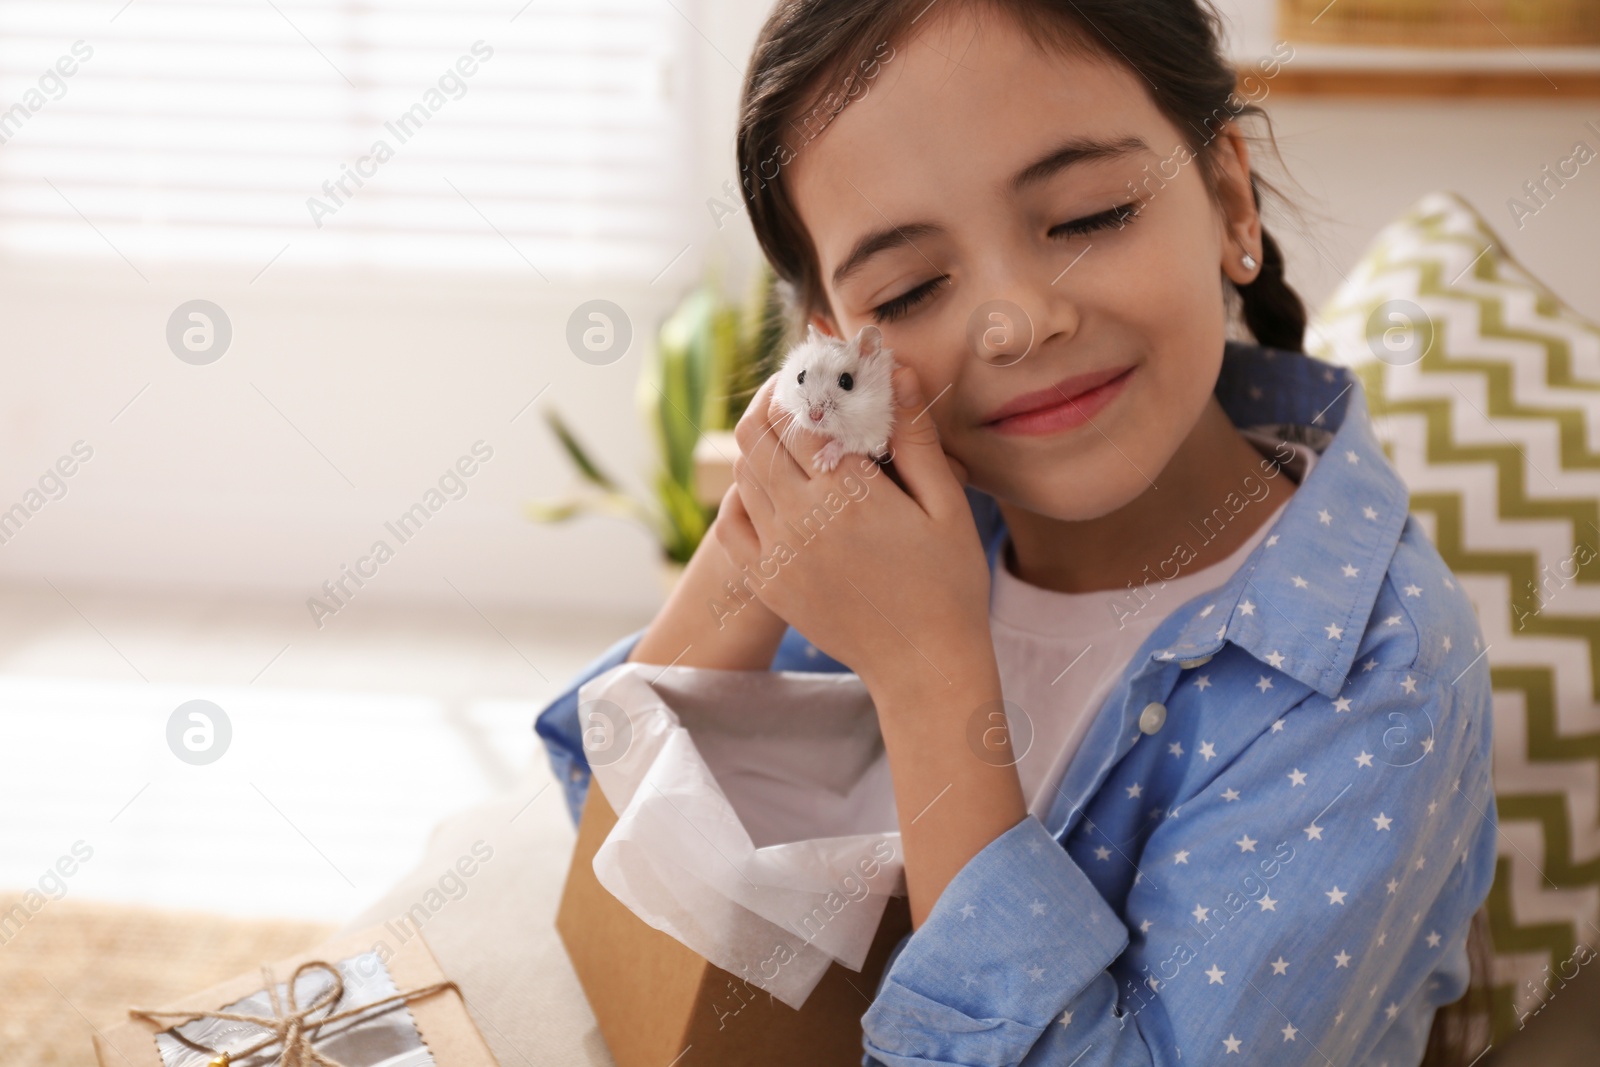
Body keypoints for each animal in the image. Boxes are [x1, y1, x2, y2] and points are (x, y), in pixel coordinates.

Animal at [768, 321, 896, 470]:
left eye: (847, 382)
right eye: (800, 376)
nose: (815, 416)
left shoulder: (878, 431)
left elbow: (846, 442)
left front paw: (821, 463)